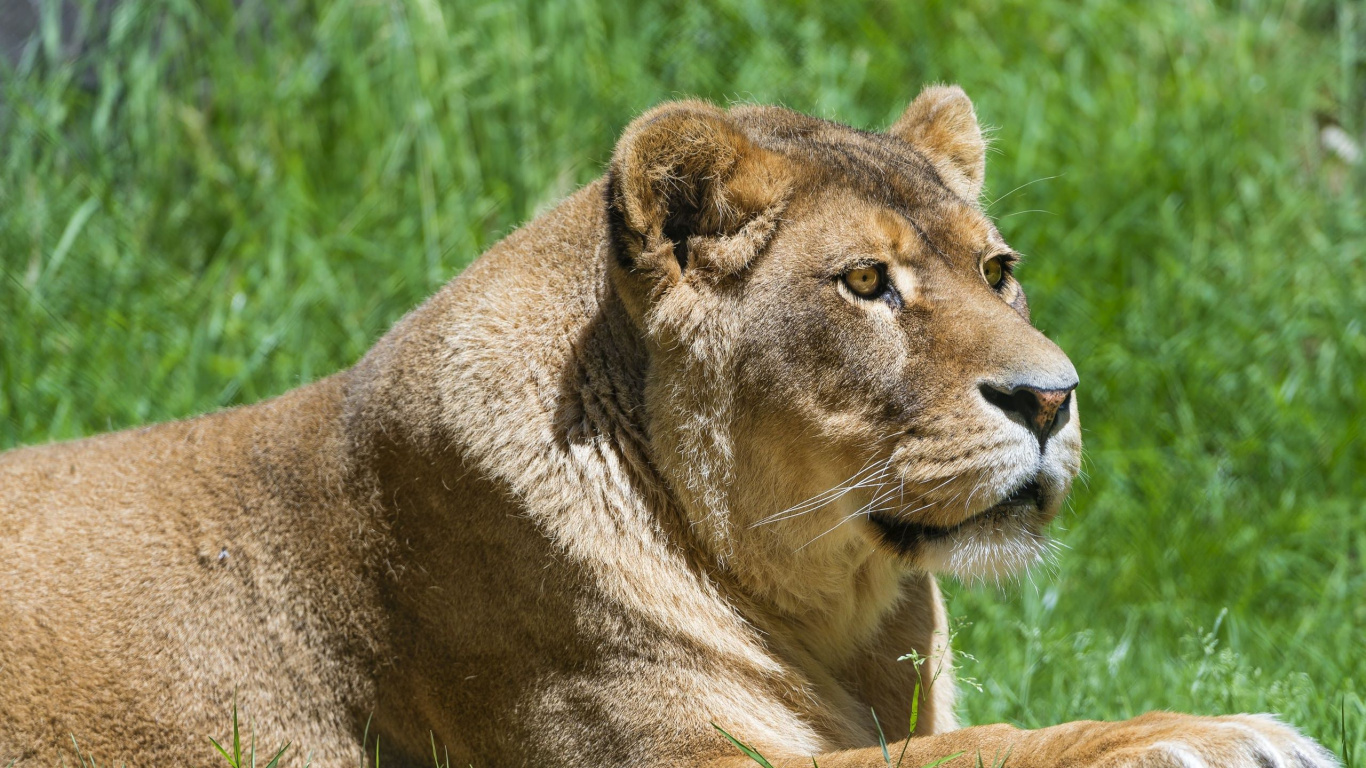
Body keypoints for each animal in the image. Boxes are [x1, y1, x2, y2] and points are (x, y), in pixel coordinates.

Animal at [0, 86, 1337, 768]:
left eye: (996, 270)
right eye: (866, 283)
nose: (1051, 398)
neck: (839, 614)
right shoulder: (660, 763)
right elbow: (960, 758)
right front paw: (1213, 735)